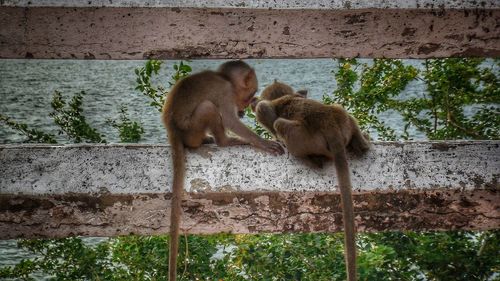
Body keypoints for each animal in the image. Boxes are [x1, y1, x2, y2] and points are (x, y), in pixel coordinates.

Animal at [162, 60, 284, 278]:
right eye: (250, 93)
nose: (245, 105)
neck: (224, 78)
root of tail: (171, 129)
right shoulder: (225, 91)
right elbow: (229, 120)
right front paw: (261, 142)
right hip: (191, 131)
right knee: (208, 107)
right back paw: (224, 141)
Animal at [252, 80, 370, 280]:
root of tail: (330, 125)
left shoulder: (265, 109)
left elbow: (264, 111)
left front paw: (274, 138)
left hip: (307, 139)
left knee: (280, 123)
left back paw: (309, 160)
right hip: (341, 119)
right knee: (339, 108)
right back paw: (361, 143)